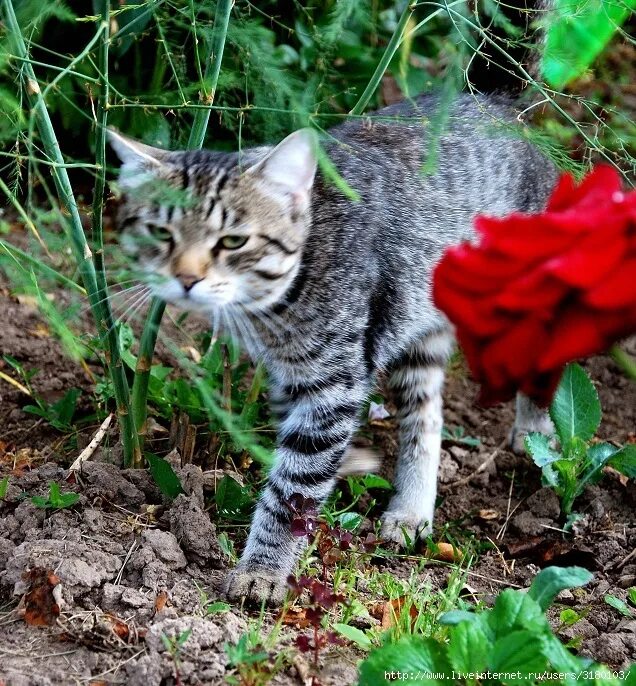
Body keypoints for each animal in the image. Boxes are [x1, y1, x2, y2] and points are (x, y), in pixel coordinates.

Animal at [109, 92, 556, 608]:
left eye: (233, 241)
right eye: (161, 234)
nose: (186, 278)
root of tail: (498, 102)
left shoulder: (333, 386)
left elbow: (293, 488)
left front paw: (262, 570)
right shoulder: (290, 376)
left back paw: (535, 432)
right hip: (417, 326)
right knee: (425, 413)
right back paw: (411, 510)